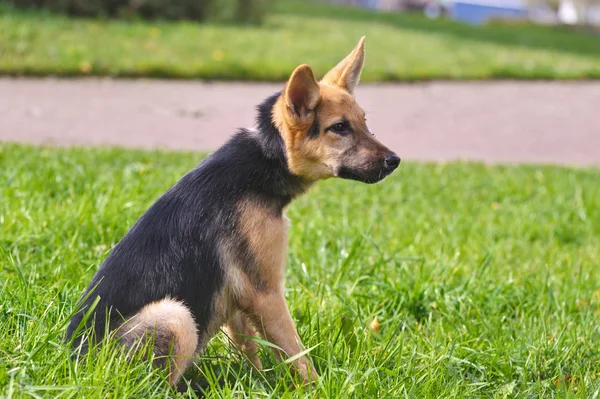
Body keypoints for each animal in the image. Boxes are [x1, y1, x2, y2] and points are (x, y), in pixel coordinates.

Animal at [65, 37, 400, 388]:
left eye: (365, 123)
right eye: (339, 128)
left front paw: (258, 385)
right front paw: (317, 389)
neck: (266, 158)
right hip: (176, 316)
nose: (395, 161)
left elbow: (249, 349)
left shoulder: (239, 298)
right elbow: (296, 353)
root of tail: (77, 367)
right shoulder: (266, 293)